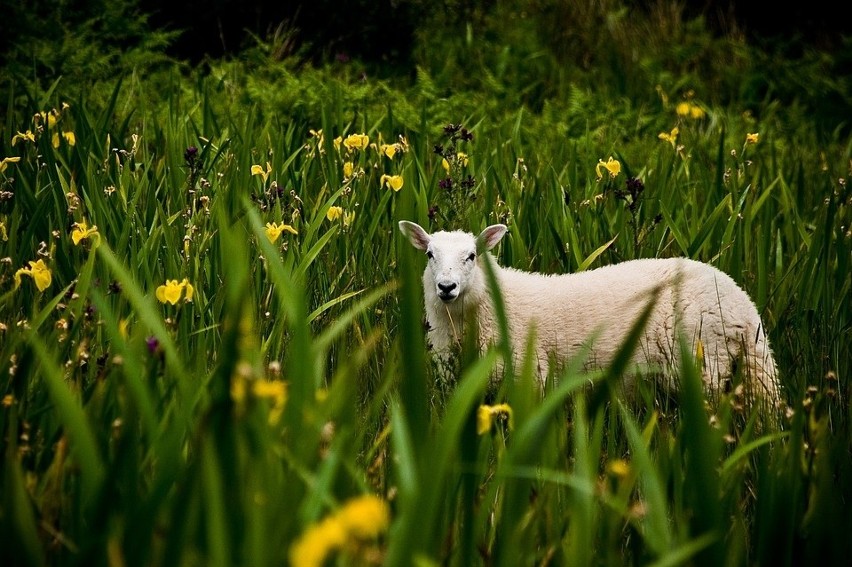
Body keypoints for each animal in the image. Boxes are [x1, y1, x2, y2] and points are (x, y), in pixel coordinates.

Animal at [400, 220, 780, 410]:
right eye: (430, 255)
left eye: (472, 256)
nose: (446, 287)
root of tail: (743, 305)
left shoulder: (529, 377)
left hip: (705, 362)